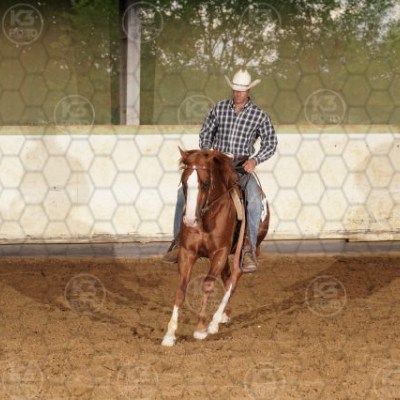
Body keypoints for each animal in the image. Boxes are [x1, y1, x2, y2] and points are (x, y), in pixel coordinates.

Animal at [162, 149, 270, 346]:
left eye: (205, 184)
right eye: (184, 183)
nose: (190, 220)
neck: (207, 216)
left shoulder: (220, 252)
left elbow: (207, 285)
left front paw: (201, 328)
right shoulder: (188, 252)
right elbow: (181, 288)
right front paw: (170, 333)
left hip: (241, 253)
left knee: (233, 280)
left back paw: (214, 322)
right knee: (227, 279)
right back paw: (223, 315)